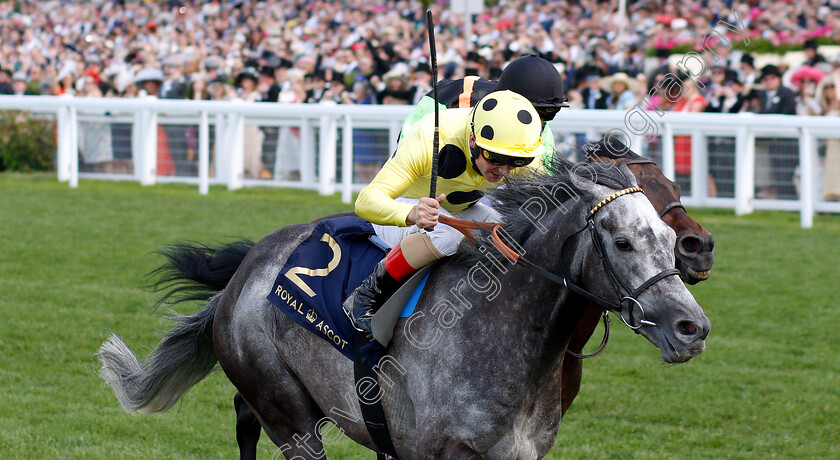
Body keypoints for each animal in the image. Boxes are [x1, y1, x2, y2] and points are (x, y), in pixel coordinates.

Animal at [101, 160, 712, 458]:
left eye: (665, 235)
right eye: (622, 242)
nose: (693, 328)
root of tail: (247, 269)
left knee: (243, 417)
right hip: (289, 414)